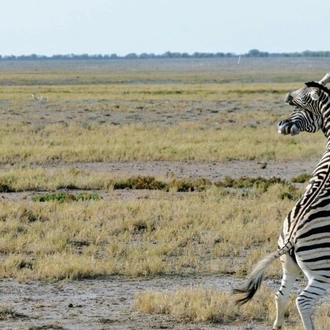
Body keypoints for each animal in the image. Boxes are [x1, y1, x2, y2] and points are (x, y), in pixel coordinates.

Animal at [233, 73, 330, 330]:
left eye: (299, 105)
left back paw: (277, 325)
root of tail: (291, 239)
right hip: (322, 271)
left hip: (289, 264)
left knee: (281, 294)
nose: (281, 125)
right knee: (302, 301)